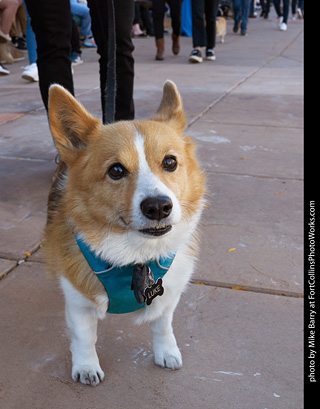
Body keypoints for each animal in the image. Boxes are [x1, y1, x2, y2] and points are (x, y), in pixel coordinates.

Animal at [44, 80, 205, 386]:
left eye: (170, 162)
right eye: (116, 170)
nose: (158, 207)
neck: (134, 255)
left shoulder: (168, 295)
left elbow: (163, 326)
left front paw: (167, 352)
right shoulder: (78, 302)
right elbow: (84, 338)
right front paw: (86, 367)